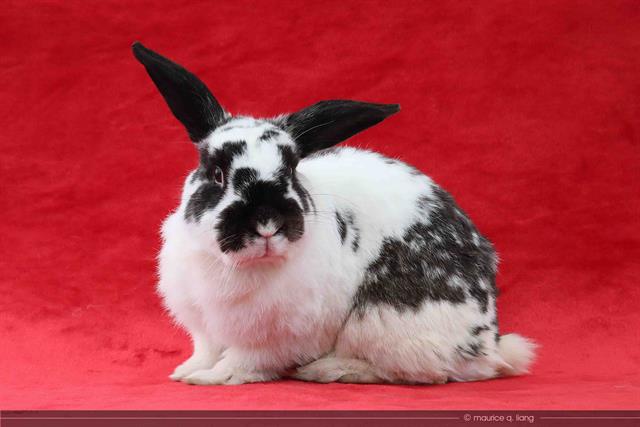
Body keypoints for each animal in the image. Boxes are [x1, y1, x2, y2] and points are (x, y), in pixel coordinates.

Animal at [131, 41, 536, 386]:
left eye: (292, 170)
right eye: (216, 173)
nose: (267, 224)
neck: (238, 267)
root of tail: (490, 344)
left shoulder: (273, 337)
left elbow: (246, 361)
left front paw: (211, 378)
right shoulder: (206, 327)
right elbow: (206, 349)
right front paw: (187, 370)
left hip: (384, 323)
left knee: (420, 371)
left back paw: (328, 369)